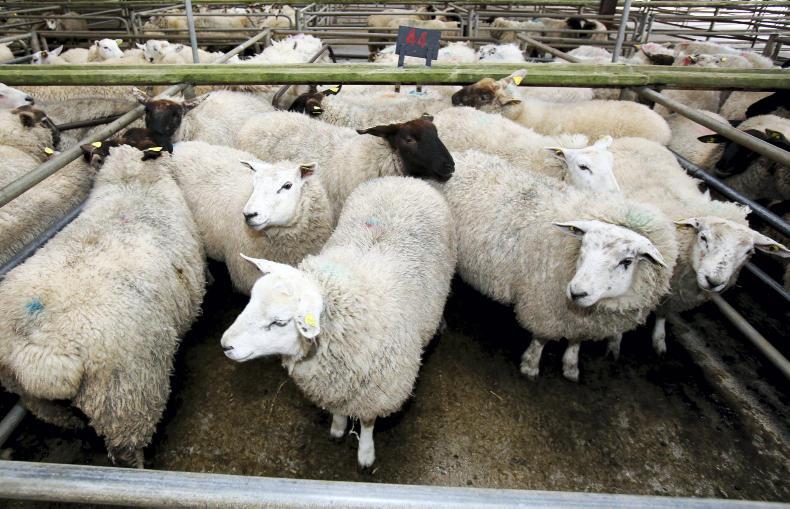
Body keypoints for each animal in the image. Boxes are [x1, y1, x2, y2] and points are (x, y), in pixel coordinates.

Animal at [0, 144, 206, 467]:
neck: (130, 184)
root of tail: (42, 352)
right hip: (126, 399)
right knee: (126, 450)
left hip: (32, 395)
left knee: (58, 417)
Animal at [221, 175, 456, 468]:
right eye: (251, 299)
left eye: (280, 322)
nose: (225, 345)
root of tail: (404, 180)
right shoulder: (331, 384)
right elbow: (338, 410)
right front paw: (337, 427)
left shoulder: (377, 390)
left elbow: (367, 422)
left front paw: (366, 453)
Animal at [443, 149, 677, 381]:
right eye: (584, 245)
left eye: (626, 261)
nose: (577, 292)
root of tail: (460, 155)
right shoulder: (543, 304)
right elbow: (541, 338)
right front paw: (530, 365)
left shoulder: (579, 321)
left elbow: (576, 340)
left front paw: (571, 365)